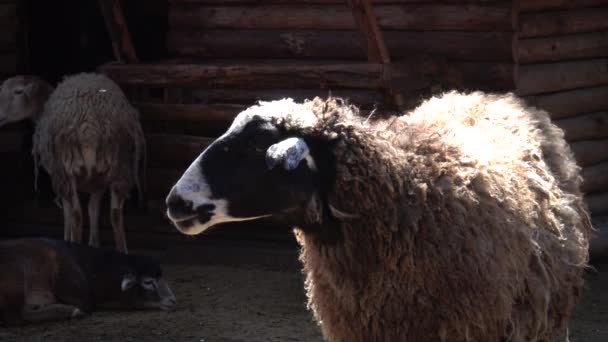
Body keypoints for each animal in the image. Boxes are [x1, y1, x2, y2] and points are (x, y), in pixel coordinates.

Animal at [0, 73, 147, 254]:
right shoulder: (98, 181)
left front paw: (68, 238)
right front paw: (94, 244)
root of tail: (91, 127)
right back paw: (122, 252)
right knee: (116, 214)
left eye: (18, 91)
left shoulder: (60, 176)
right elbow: (93, 210)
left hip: (69, 169)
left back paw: (75, 245)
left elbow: (68, 212)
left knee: (77, 215)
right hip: (119, 166)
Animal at [0, 236, 176, 324]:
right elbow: (87, 303)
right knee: (17, 315)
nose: (172, 300)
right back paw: (70, 311)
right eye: (148, 282)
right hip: (18, 277)